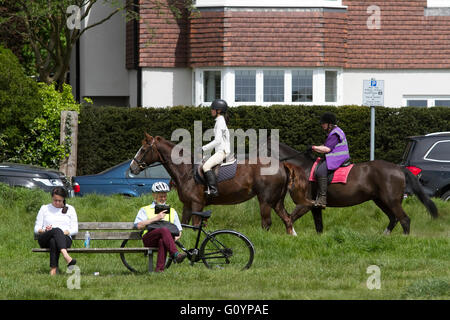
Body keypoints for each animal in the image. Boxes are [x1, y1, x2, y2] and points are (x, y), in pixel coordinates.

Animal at [129, 132, 312, 235]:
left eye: (143, 150)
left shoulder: (197, 204)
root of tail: (281, 164)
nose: (132, 167)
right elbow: (184, 225)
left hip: (265, 201)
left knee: (267, 223)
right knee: (287, 219)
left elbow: (195, 225)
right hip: (276, 201)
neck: (186, 170)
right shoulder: (187, 205)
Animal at [276, 141, 438, 234]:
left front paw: (291, 236)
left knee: (404, 219)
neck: (301, 168)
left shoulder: (306, 204)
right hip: (381, 201)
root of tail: (398, 168)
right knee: (394, 219)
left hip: (391, 201)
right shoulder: (315, 207)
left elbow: (289, 218)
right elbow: (318, 227)